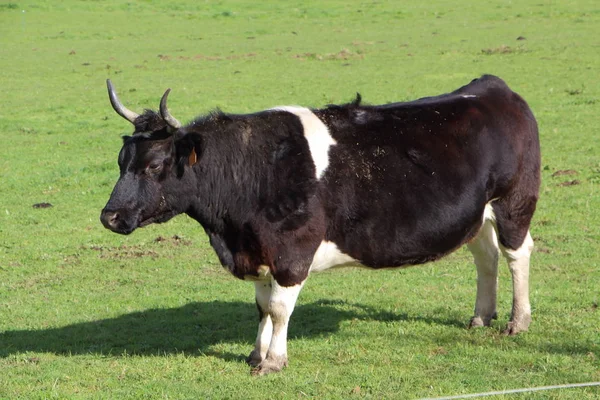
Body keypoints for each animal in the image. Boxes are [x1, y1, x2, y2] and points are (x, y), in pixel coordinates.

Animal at [101, 76, 540, 376]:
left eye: (155, 165)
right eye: (122, 160)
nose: (110, 216)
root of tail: (492, 88)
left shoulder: (292, 252)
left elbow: (279, 309)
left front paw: (273, 361)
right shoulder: (259, 251)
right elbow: (262, 307)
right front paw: (255, 354)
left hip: (514, 203)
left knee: (517, 255)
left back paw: (518, 321)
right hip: (476, 215)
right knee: (486, 258)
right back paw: (481, 316)